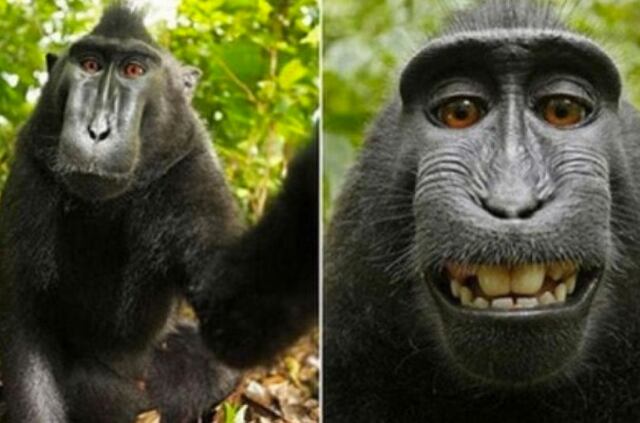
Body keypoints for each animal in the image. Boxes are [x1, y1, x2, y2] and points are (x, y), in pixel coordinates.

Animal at [0, 4, 318, 423]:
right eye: (89, 64)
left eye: (134, 70)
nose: (97, 131)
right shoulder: (30, 169)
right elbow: (24, 325)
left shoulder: (192, 170)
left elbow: (234, 315)